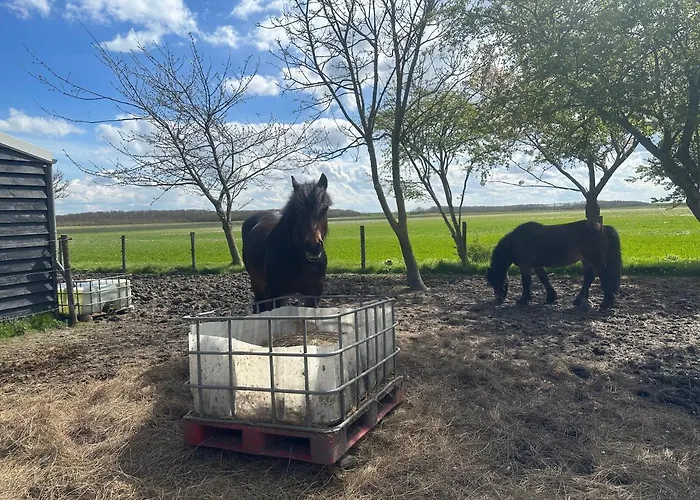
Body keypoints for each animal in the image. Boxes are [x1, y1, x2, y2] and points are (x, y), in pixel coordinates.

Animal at [241, 173, 332, 313]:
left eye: (325, 208)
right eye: (298, 210)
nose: (313, 246)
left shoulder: (314, 294)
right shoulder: (274, 294)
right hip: (258, 283)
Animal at [485, 219, 622, 310]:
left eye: (496, 280)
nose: (499, 299)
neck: (516, 242)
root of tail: (603, 228)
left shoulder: (526, 266)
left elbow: (526, 282)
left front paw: (523, 300)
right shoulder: (536, 265)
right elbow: (544, 278)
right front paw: (551, 297)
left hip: (595, 260)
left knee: (603, 277)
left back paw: (605, 304)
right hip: (586, 260)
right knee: (588, 278)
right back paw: (578, 301)